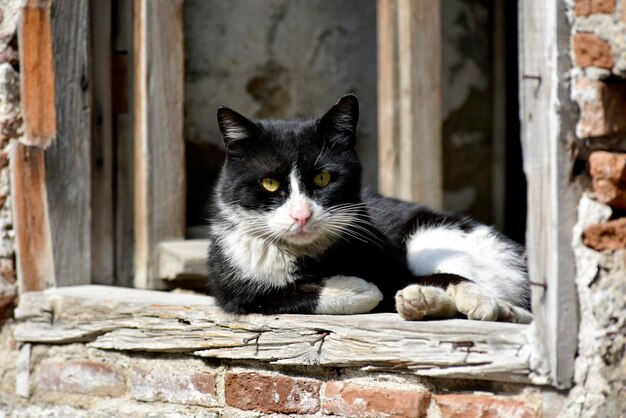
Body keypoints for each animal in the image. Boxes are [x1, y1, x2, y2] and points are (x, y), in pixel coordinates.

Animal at [207, 94, 528, 324]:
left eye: (323, 178)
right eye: (270, 183)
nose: (302, 215)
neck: (311, 258)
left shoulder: (393, 263)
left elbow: (441, 276)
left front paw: (476, 295)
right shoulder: (233, 288)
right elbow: (277, 293)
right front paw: (357, 288)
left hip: (432, 238)